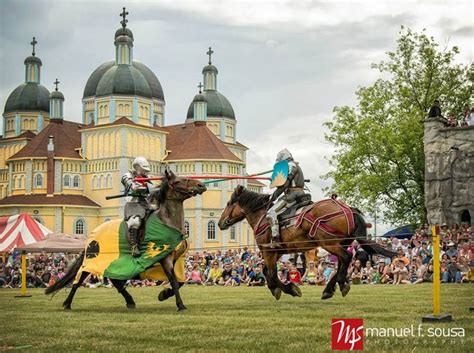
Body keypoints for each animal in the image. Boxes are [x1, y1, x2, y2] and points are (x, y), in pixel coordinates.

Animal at [45, 170, 206, 310]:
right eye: (178, 181)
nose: (201, 185)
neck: (167, 221)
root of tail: (93, 233)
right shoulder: (164, 258)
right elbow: (174, 281)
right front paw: (180, 305)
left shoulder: (177, 259)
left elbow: (180, 281)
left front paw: (164, 294)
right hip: (93, 260)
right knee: (78, 281)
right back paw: (67, 303)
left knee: (115, 280)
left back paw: (130, 301)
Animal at [219, 186, 396, 298]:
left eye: (228, 203)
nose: (220, 223)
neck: (262, 217)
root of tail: (348, 209)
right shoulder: (275, 252)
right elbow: (266, 271)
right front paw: (276, 289)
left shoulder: (268, 252)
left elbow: (272, 274)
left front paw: (290, 289)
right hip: (340, 243)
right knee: (342, 262)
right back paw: (329, 289)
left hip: (329, 243)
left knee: (346, 258)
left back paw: (339, 284)